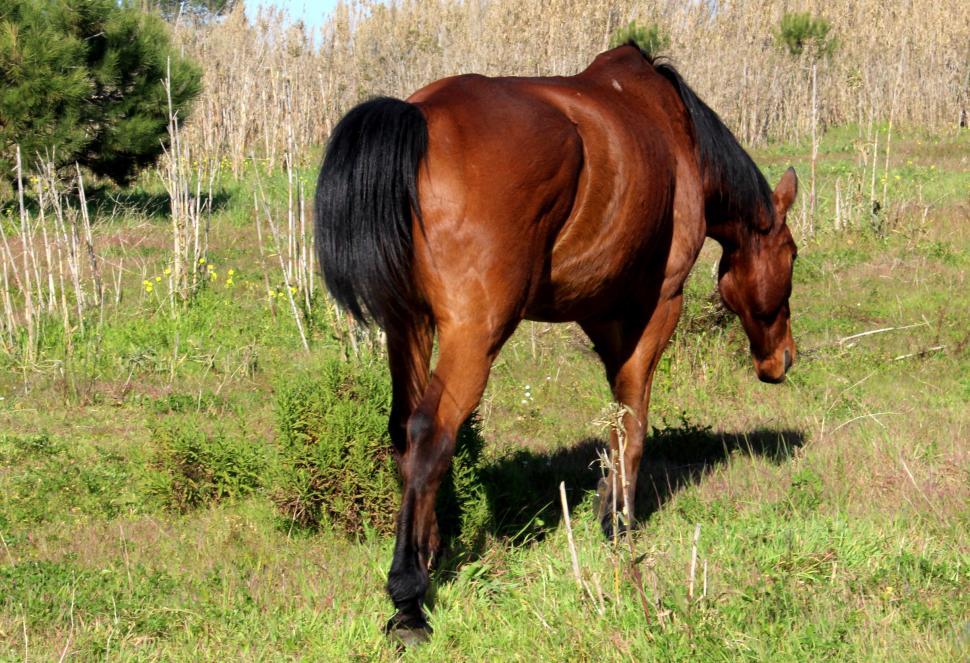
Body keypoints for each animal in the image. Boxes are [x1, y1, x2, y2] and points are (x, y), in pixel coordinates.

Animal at [314, 43, 798, 643]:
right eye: (792, 254)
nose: (783, 359)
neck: (675, 132)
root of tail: (418, 117)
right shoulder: (659, 303)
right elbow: (633, 413)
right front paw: (619, 521)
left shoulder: (601, 310)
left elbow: (618, 409)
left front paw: (610, 506)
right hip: (473, 334)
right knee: (430, 434)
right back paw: (409, 597)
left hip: (407, 326)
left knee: (404, 430)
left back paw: (430, 551)